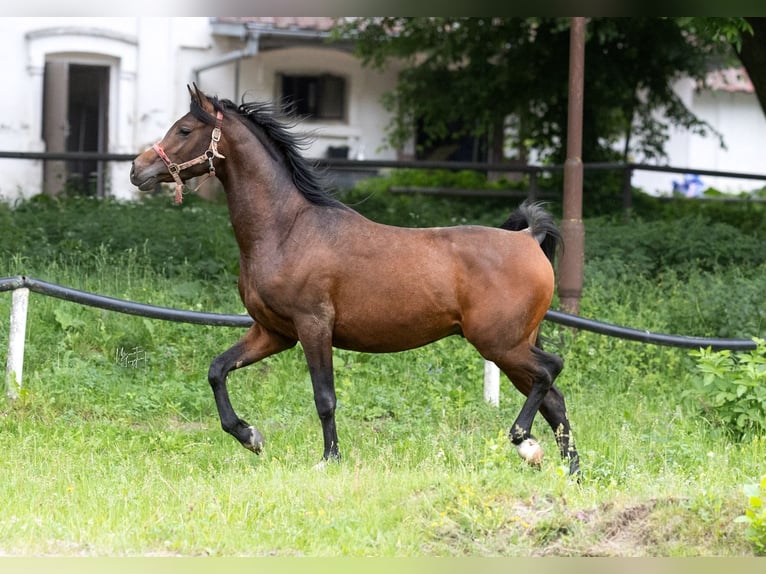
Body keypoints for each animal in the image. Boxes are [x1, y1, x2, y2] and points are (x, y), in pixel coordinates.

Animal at [130, 84, 580, 476]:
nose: (138, 170)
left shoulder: (313, 326)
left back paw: (525, 443)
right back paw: (570, 473)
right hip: (511, 346)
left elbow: (324, 398)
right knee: (555, 400)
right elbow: (217, 369)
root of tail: (527, 239)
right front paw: (249, 436)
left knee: (551, 372)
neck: (287, 229)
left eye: (184, 130)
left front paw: (329, 458)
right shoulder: (274, 332)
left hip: (499, 343)